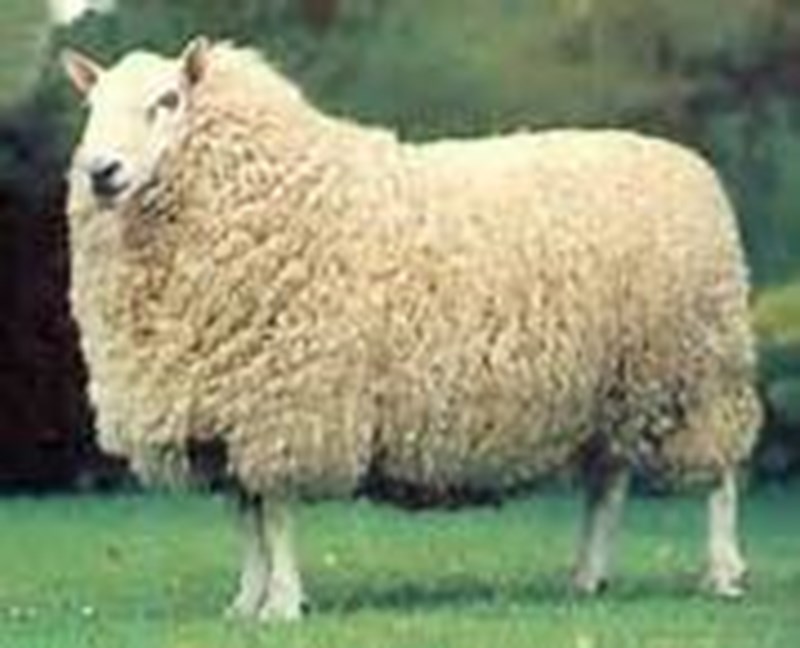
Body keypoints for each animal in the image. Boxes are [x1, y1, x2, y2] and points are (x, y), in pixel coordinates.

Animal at [62, 37, 762, 621]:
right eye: (90, 106)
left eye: (168, 101)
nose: (101, 172)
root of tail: (688, 163)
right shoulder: (225, 417)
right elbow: (247, 518)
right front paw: (246, 603)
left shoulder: (289, 404)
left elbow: (277, 514)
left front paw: (282, 605)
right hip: (617, 387)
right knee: (608, 483)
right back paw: (588, 577)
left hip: (698, 374)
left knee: (721, 477)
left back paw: (723, 573)